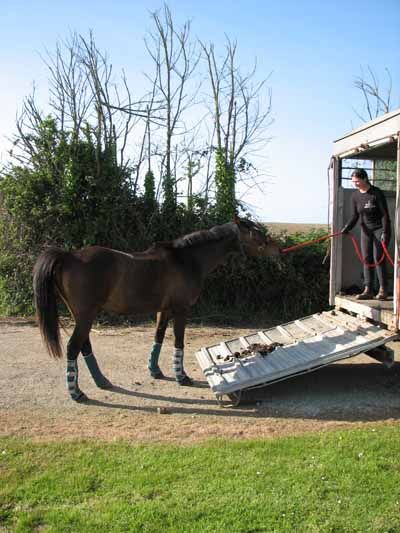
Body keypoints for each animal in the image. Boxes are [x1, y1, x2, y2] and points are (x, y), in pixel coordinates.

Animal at [33, 216, 280, 402]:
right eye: (255, 233)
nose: (277, 249)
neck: (187, 260)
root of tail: (68, 256)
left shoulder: (164, 310)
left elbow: (158, 337)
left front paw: (156, 371)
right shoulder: (181, 309)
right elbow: (178, 341)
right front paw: (181, 377)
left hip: (81, 316)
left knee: (84, 346)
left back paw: (101, 381)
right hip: (86, 316)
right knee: (73, 347)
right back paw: (76, 392)